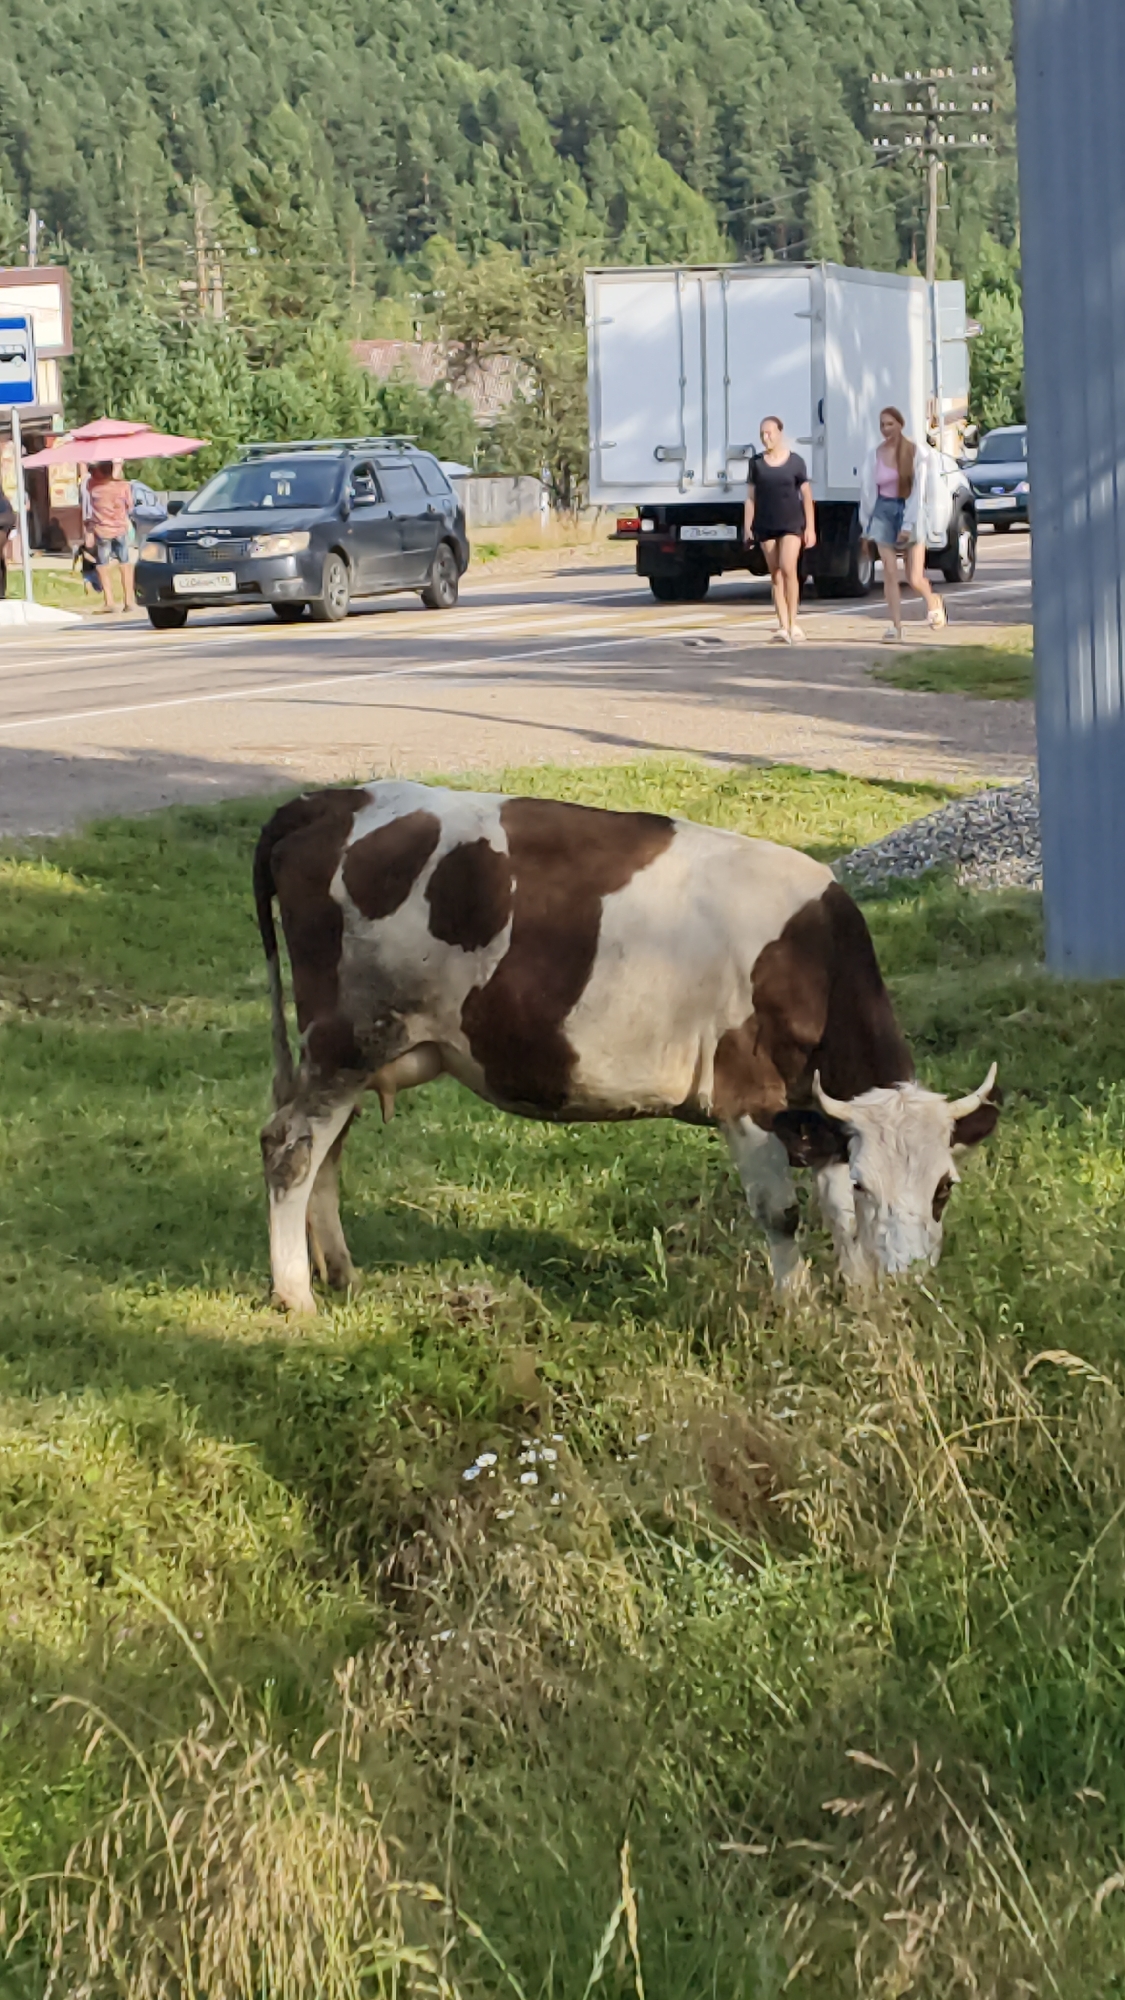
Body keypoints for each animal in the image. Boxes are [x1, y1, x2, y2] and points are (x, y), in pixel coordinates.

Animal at [253, 781, 1000, 1314]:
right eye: (873, 1181)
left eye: (943, 1189)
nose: (907, 1281)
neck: (810, 952)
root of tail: (332, 799)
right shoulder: (747, 1095)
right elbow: (782, 1212)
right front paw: (801, 1309)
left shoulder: (813, 1110)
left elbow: (834, 1210)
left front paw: (860, 1301)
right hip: (346, 1040)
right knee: (290, 1147)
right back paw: (297, 1296)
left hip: (353, 1053)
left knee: (326, 1150)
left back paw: (341, 1273)